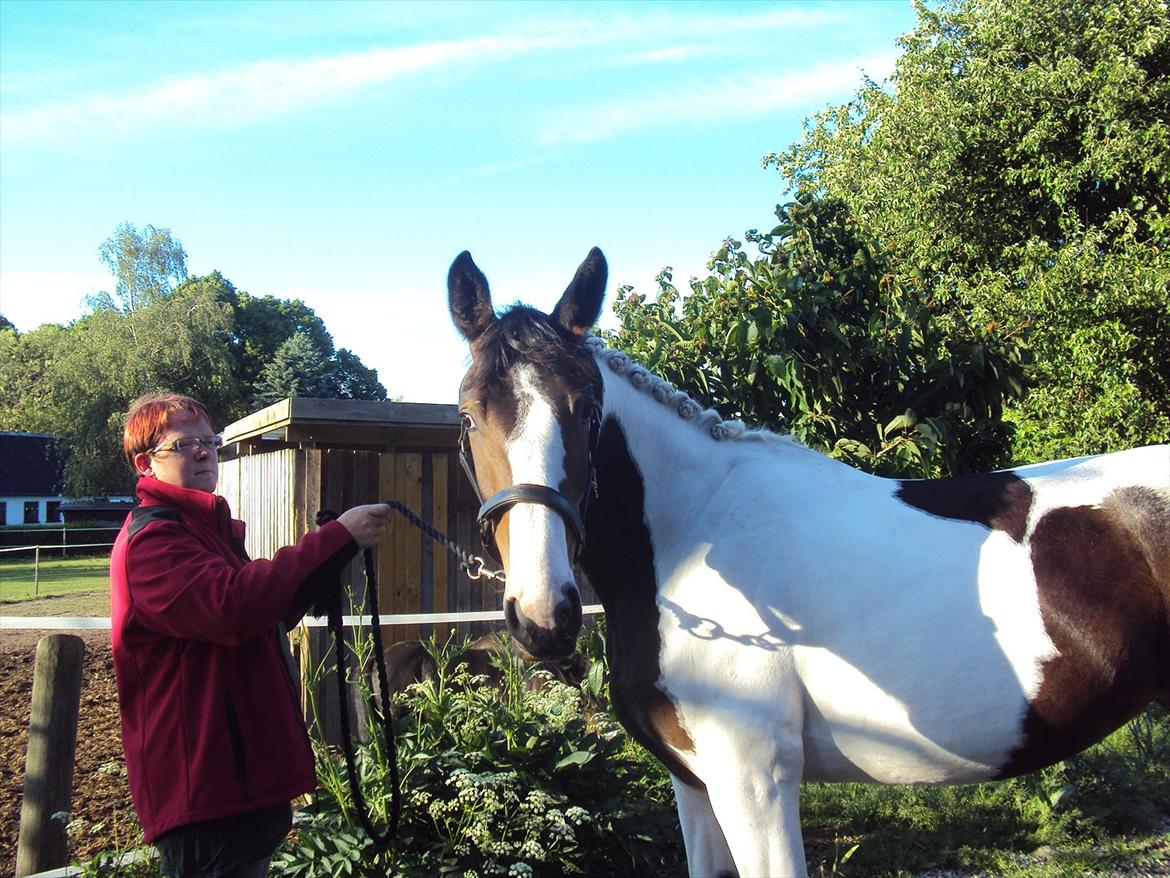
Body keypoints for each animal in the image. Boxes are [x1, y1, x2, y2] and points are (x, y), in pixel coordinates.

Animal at [444, 244, 1170, 875]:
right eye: (469, 417)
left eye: (588, 411)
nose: (545, 614)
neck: (693, 531)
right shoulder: (693, 783)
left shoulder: (752, 779)